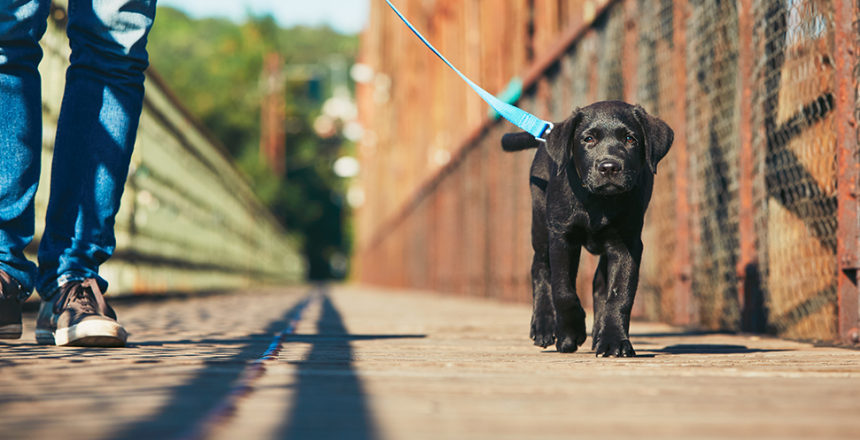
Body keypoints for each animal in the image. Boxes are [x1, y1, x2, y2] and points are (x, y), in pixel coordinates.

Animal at [500, 100, 676, 358]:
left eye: (630, 139)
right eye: (589, 139)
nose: (609, 167)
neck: (599, 201)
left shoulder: (627, 244)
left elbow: (619, 294)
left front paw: (614, 341)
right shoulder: (562, 238)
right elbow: (563, 290)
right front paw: (571, 333)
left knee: (599, 283)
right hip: (541, 222)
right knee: (540, 267)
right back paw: (544, 326)